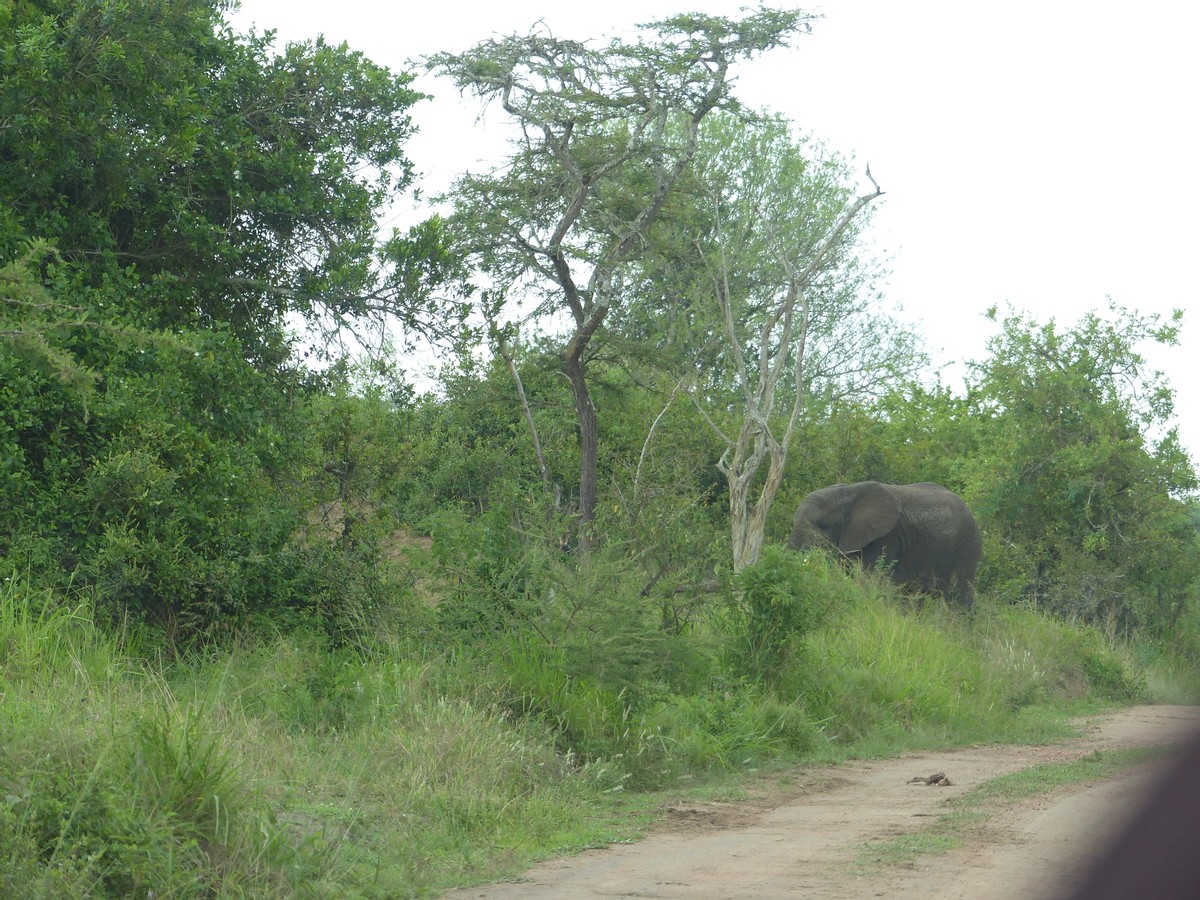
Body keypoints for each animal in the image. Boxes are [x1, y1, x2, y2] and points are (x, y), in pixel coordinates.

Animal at [792, 482, 979, 609]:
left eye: (822, 526)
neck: (849, 492)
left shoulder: (886, 538)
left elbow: (867, 582)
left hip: (967, 546)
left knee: (960, 599)